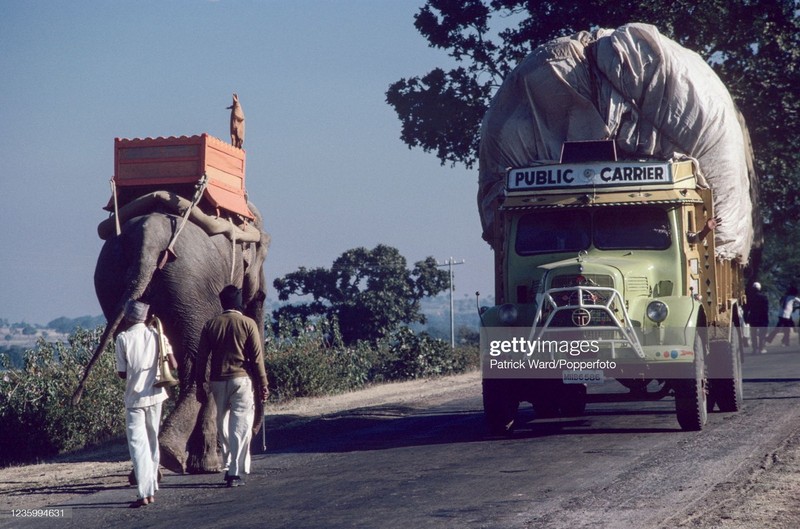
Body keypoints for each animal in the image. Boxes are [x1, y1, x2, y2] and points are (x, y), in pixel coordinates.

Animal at [87, 195, 268, 474]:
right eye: (263, 254)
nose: (258, 436)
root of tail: (148, 240)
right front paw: (208, 466)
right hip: (190, 287)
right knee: (199, 367)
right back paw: (173, 457)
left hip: (112, 282)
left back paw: (152, 466)